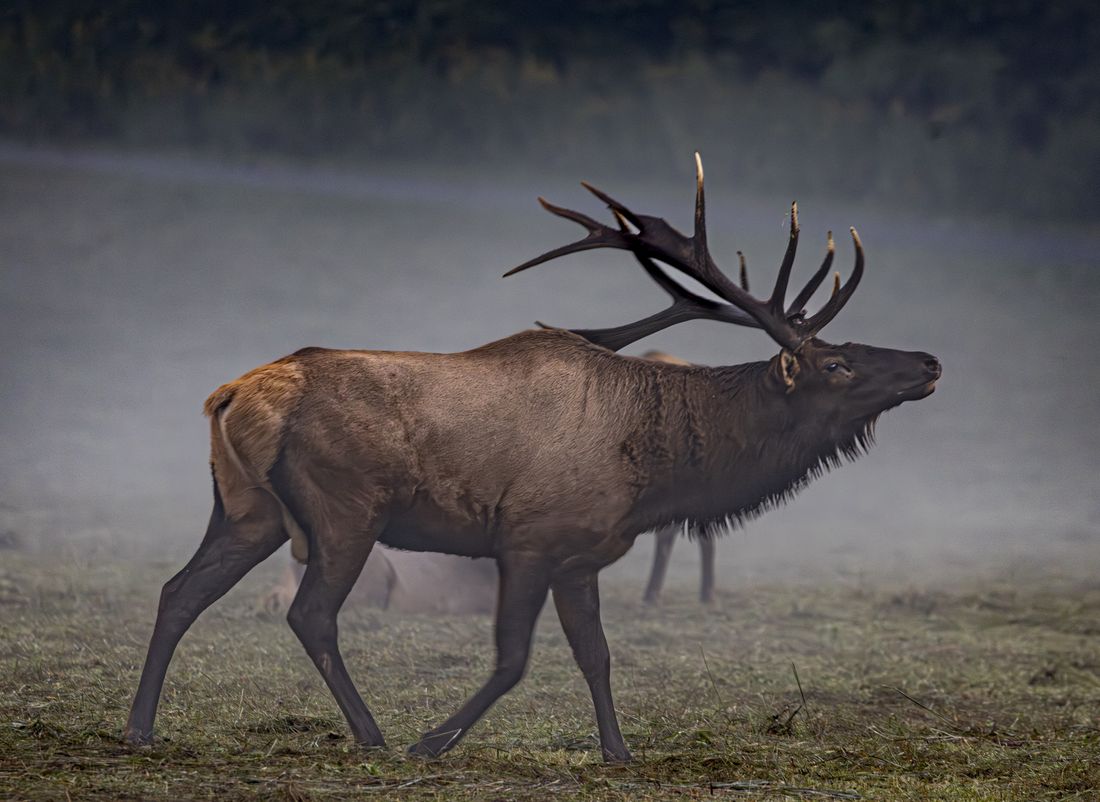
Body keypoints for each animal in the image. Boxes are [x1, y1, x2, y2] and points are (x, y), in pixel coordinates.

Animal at [124, 154, 941, 763]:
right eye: (836, 363)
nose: (930, 361)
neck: (658, 473)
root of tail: (231, 393)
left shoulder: (581, 555)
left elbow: (597, 654)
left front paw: (619, 750)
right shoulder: (528, 537)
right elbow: (515, 658)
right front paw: (434, 741)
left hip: (246, 509)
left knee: (179, 591)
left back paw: (139, 727)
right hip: (344, 507)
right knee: (311, 613)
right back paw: (374, 734)